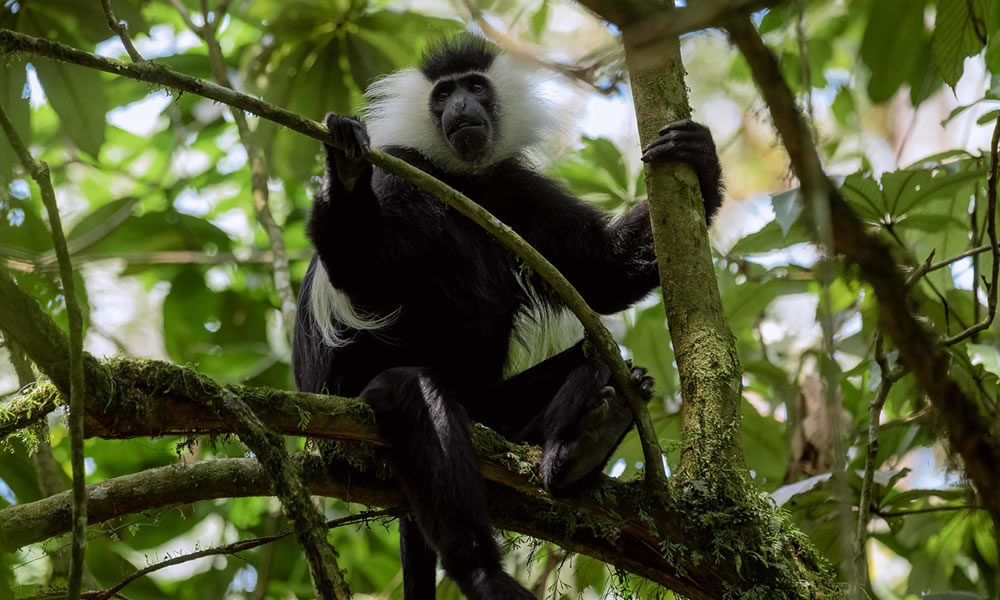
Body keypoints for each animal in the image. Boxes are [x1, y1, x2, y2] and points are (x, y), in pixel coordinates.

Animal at [292, 36, 724, 600]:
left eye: (476, 88)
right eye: (443, 94)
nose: (460, 106)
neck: (463, 178)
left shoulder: (515, 188)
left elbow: (601, 272)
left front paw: (700, 156)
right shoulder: (400, 170)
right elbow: (364, 277)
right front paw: (343, 165)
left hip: (497, 411)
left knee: (599, 365)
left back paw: (579, 446)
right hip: (348, 423)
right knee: (414, 392)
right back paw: (483, 571)